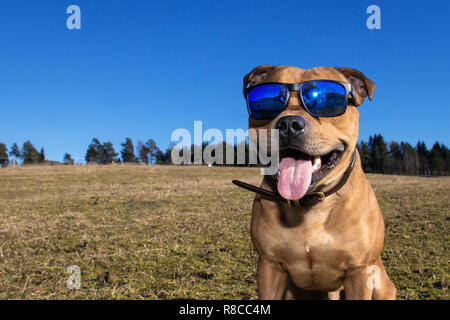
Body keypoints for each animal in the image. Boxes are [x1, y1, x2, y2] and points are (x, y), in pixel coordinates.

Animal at [243, 65, 398, 300]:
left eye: (324, 101)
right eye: (268, 101)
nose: (289, 123)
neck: (312, 205)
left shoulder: (359, 272)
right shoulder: (270, 267)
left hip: (380, 283)